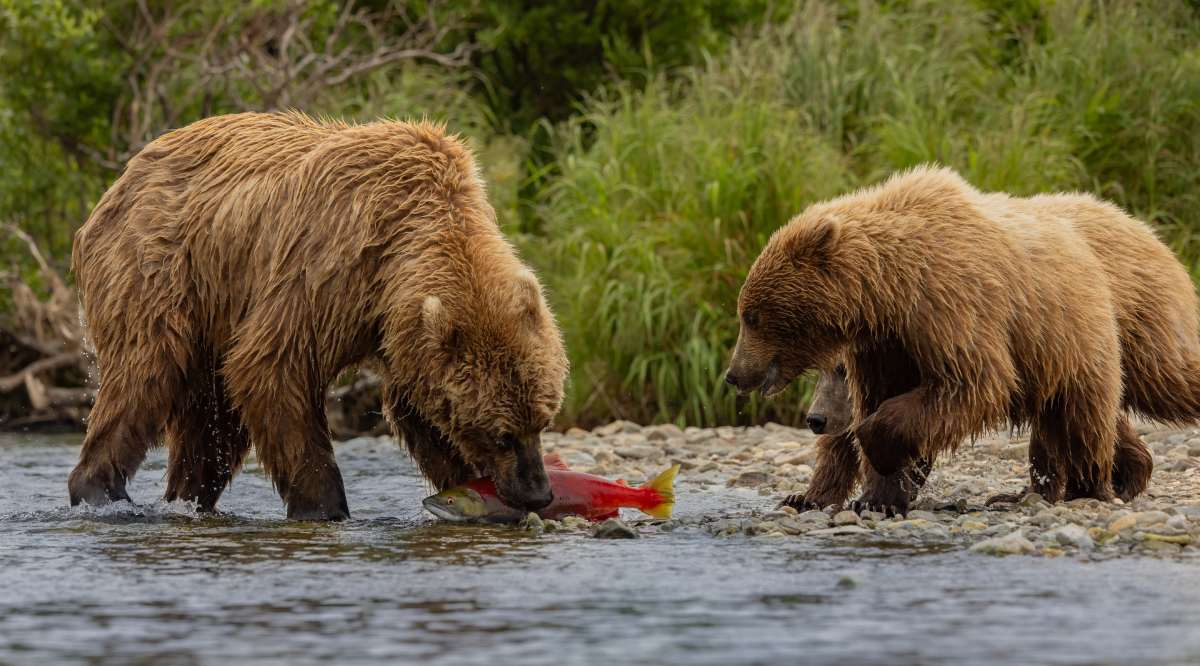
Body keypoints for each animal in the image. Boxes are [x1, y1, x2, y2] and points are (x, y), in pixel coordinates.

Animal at [68, 112, 568, 520]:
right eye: (501, 433)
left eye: (542, 420)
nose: (538, 492)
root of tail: (122, 178)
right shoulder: (329, 268)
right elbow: (272, 367)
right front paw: (324, 504)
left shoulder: (396, 330)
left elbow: (418, 406)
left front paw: (464, 484)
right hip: (160, 270)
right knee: (144, 376)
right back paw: (99, 490)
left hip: (215, 308)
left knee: (212, 423)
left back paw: (189, 497)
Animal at [724, 166, 1195, 511]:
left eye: (752, 316)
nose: (733, 374)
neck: (891, 290)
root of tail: (1144, 228)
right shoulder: (887, 343)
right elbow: (884, 402)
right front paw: (859, 496)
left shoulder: (952, 306)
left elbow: (970, 384)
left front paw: (876, 453)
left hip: (1087, 333)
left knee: (1094, 410)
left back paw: (1087, 486)